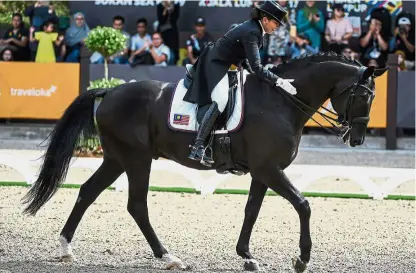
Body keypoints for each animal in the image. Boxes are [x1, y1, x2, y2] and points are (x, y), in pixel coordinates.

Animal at [22, 52, 386, 270]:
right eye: (364, 96)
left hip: (115, 158)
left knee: (87, 192)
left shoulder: (262, 172)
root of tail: (109, 92)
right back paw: (169, 257)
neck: (281, 101)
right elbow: (303, 204)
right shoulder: (269, 169)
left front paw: (247, 256)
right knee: (136, 205)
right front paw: (302, 258)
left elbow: (251, 210)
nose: (356, 138)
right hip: (137, 159)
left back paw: (66, 248)